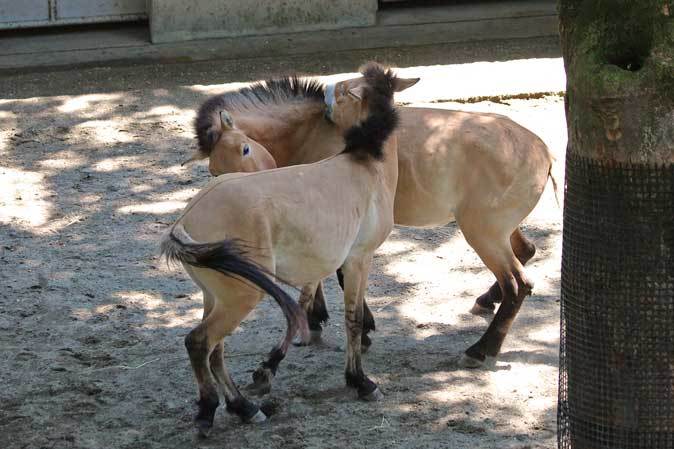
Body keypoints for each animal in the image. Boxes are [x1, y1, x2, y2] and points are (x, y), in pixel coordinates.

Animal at [161, 63, 402, 434]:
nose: (328, 106)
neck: (363, 163)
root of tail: (187, 218)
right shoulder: (359, 260)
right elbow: (353, 318)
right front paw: (361, 382)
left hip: (214, 297)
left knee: (216, 350)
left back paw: (245, 408)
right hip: (240, 298)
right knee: (199, 343)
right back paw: (210, 411)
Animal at [186, 66, 552, 370]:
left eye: (245, 149)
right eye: (213, 169)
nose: (241, 194)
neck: (313, 129)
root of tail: (543, 149)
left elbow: (338, 275)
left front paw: (354, 329)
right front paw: (318, 320)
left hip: (483, 233)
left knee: (518, 284)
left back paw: (481, 349)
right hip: (497, 231)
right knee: (526, 252)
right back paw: (486, 302)